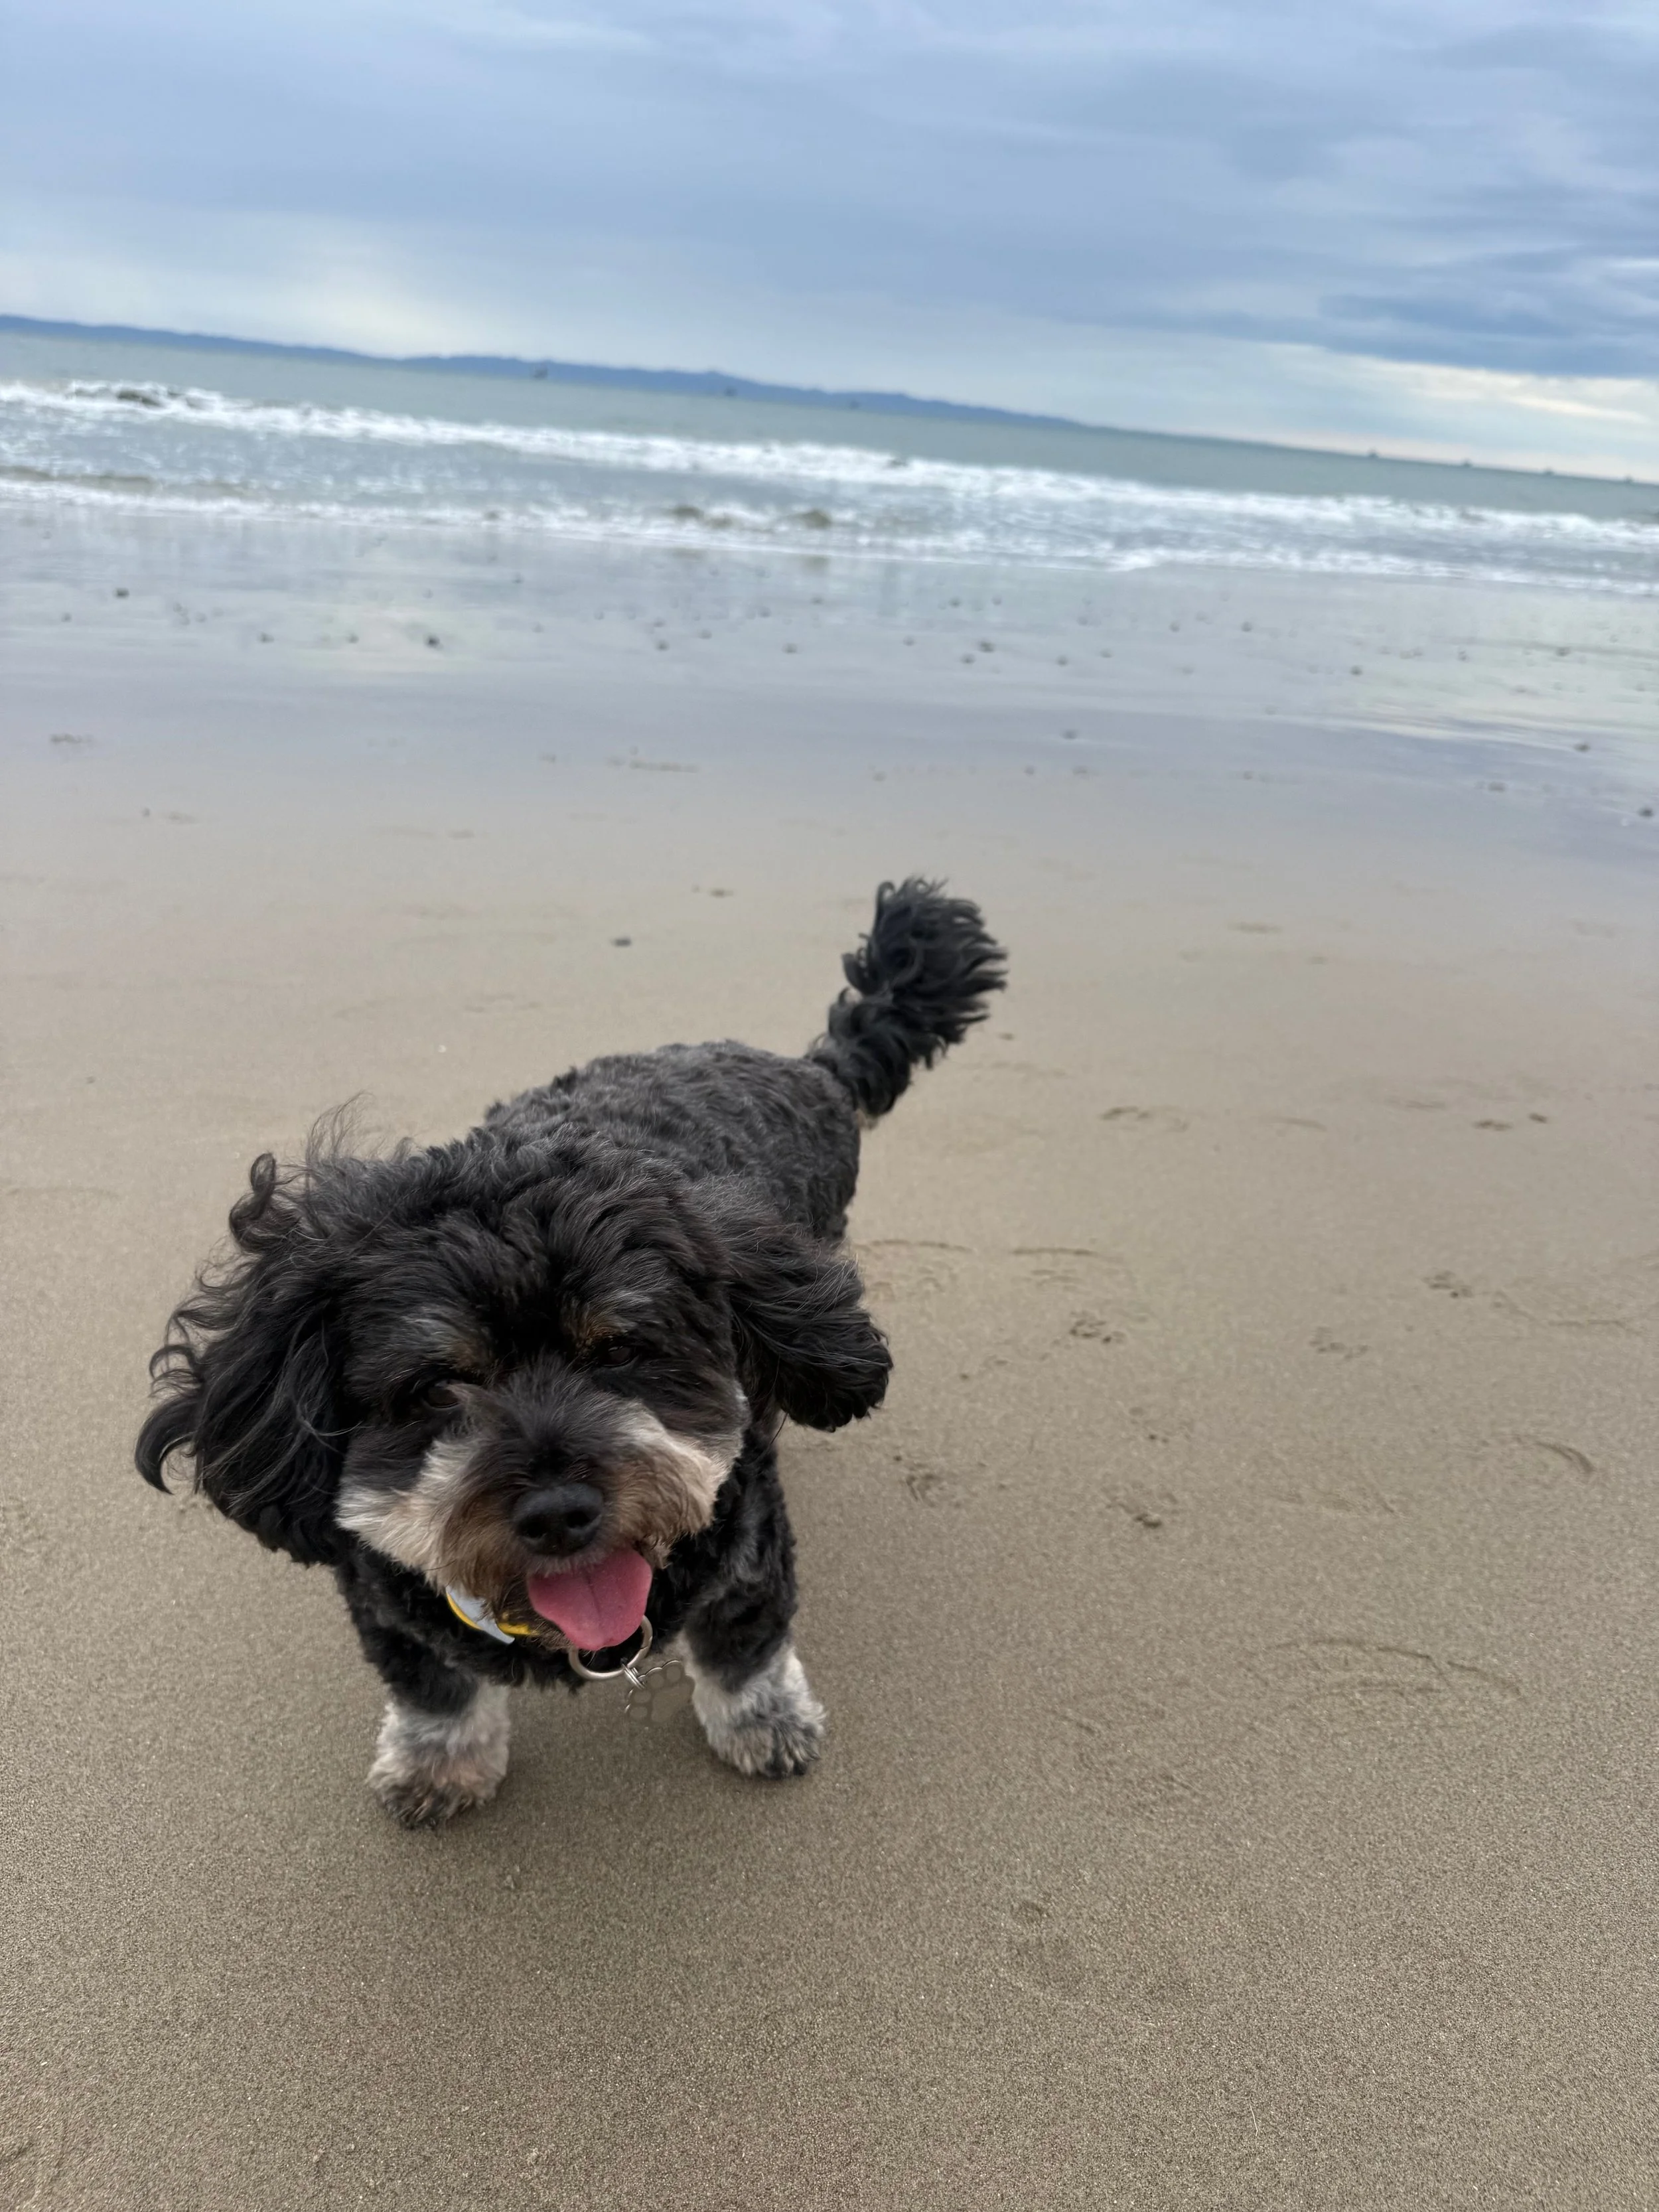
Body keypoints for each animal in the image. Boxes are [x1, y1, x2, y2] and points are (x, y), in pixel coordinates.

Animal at [137, 879, 1004, 1825]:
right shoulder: (383, 1594)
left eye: (620, 1348)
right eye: (436, 1387)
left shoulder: (744, 1549)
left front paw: (763, 1721)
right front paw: (438, 1763)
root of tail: (807, 1065)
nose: (559, 1514)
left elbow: (745, 1642)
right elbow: (434, 1686)